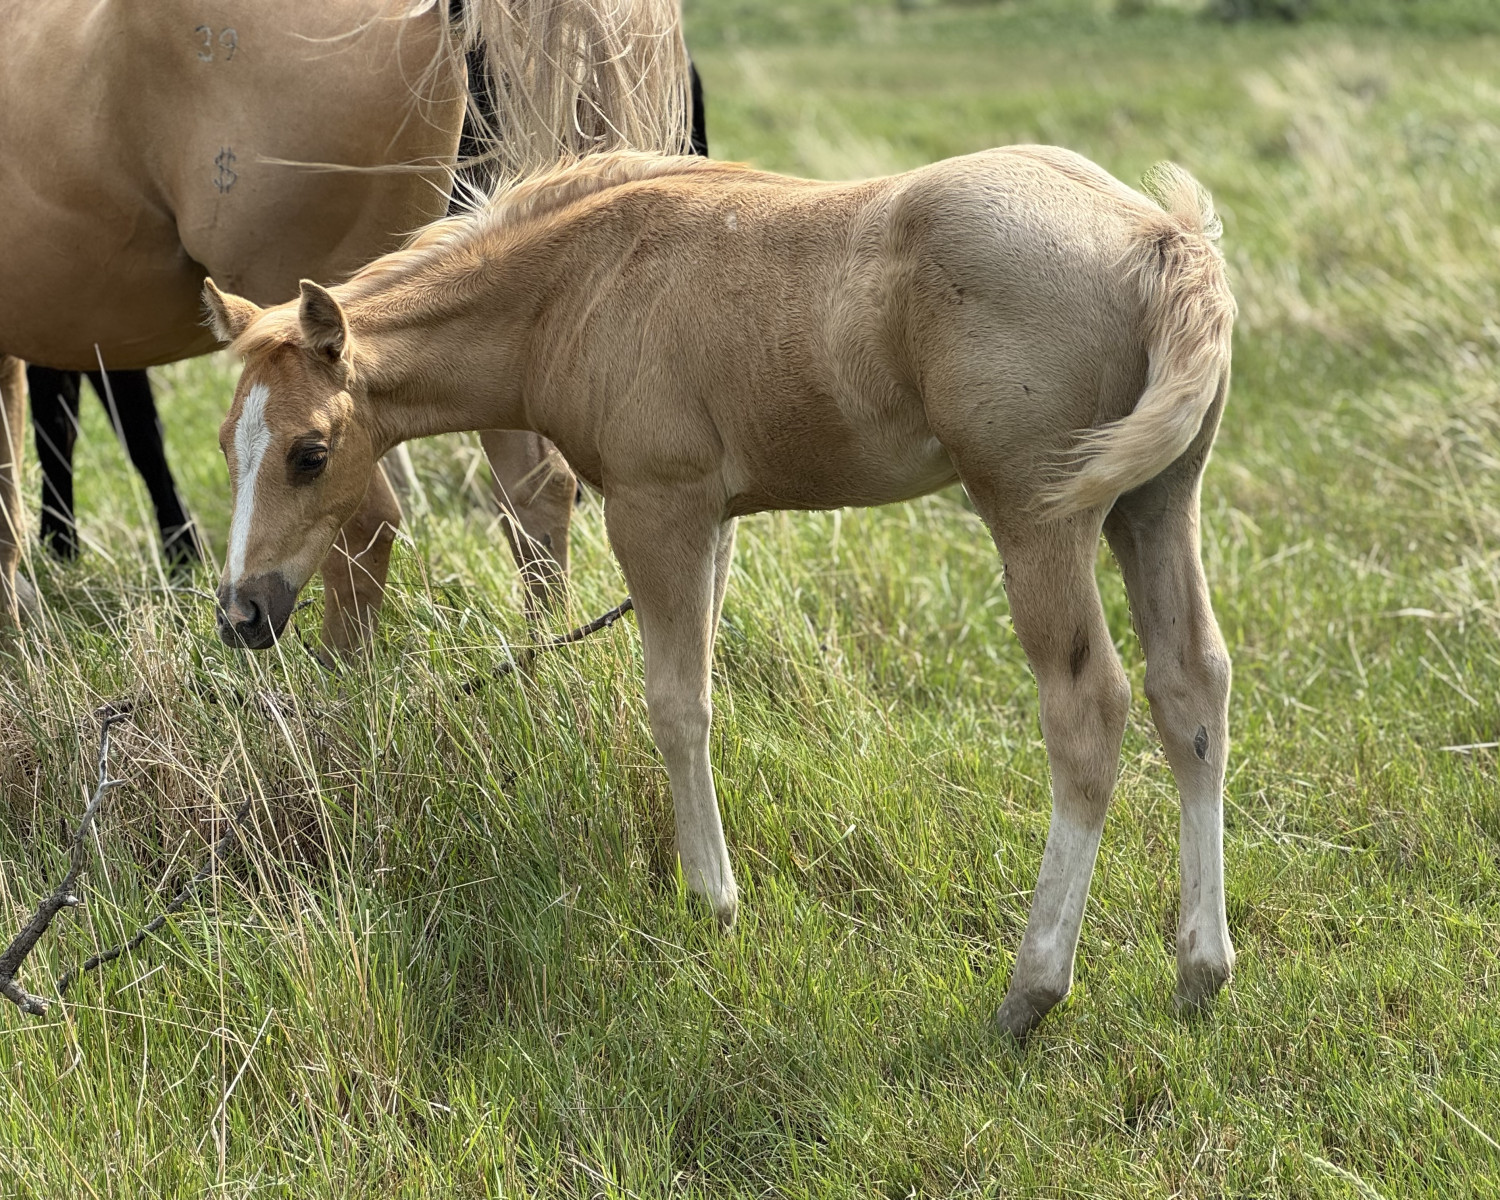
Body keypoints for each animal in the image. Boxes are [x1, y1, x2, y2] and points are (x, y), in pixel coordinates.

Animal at [201, 146, 1238, 1039]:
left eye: (310, 453)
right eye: (224, 444)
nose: (242, 613)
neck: (576, 286)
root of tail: (1161, 236)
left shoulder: (658, 509)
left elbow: (678, 704)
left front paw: (711, 900)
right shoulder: (719, 521)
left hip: (1036, 513)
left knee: (1087, 709)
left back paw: (1033, 987)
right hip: (1156, 500)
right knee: (1190, 687)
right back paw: (1201, 970)